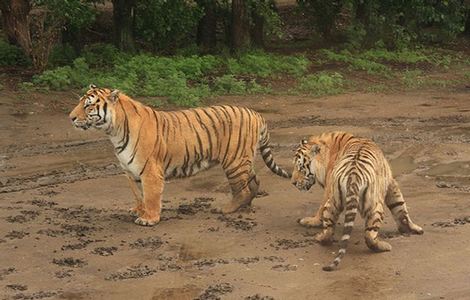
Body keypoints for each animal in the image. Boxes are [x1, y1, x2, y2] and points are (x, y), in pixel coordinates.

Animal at [69, 84, 290, 225]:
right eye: (80, 103)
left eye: (88, 105)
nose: (70, 117)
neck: (113, 132)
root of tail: (256, 113)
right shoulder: (129, 171)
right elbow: (138, 195)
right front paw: (138, 210)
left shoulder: (150, 170)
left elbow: (151, 196)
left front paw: (149, 219)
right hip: (243, 159)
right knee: (254, 182)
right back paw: (245, 206)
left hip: (234, 161)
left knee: (241, 189)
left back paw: (227, 209)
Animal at [292, 131, 424, 272]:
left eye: (300, 168)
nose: (293, 182)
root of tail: (353, 175)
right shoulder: (391, 184)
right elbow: (400, 207)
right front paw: (411, 228)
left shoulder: (328, 189)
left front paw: (311, 221)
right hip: (371, 206)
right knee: (368, 235)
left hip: (337, 202)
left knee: (332, 229)